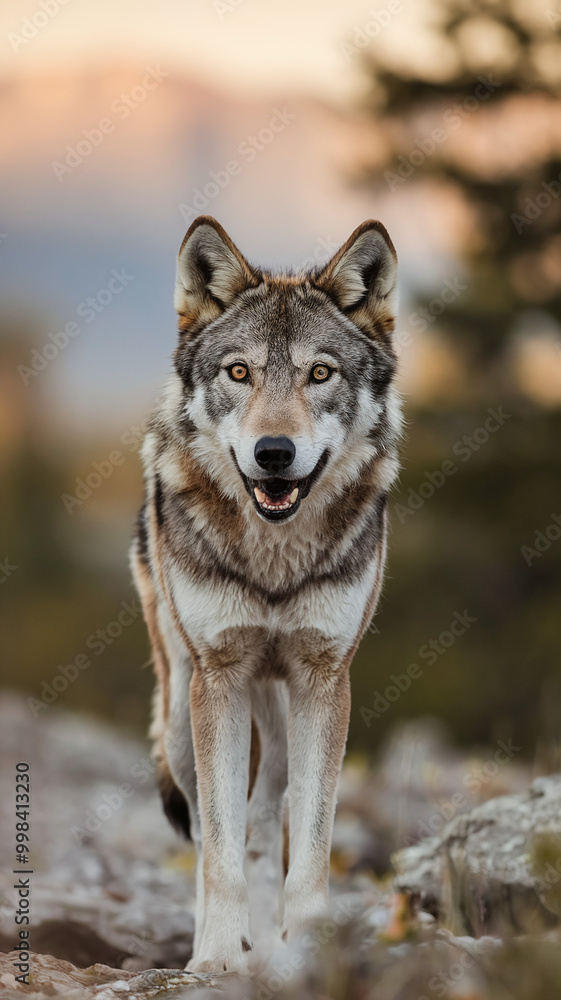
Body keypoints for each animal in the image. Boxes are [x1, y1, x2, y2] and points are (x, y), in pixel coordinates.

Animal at [131, 216, 401, 973]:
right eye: (239, 372)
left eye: (320, 373)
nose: (273, 453)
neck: (275, 562)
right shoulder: (219, 679)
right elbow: (218, 850)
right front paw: (217, 958)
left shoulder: (325, 680)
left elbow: (309, 842)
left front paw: (304, 951)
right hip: (183, 705)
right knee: (206, 828)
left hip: (280, 708)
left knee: (264, 807)